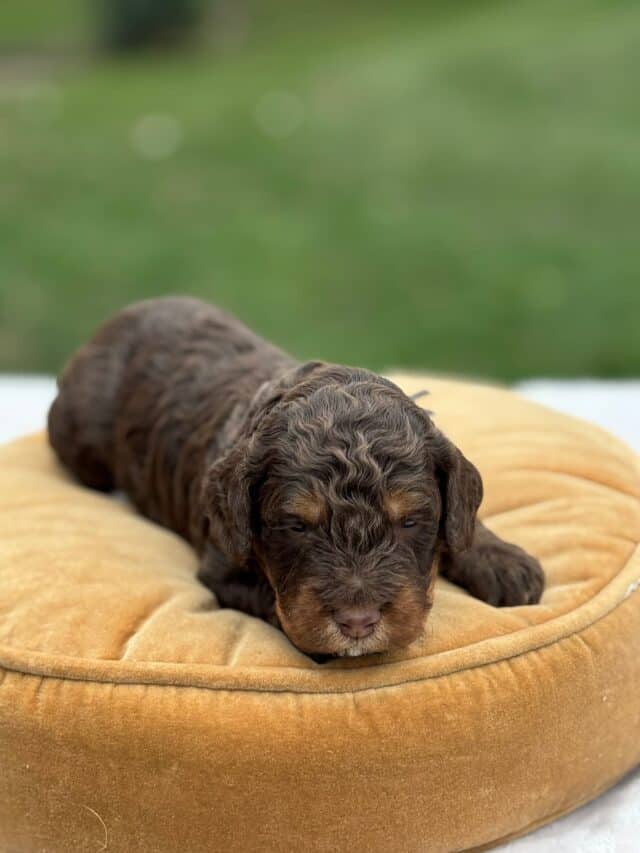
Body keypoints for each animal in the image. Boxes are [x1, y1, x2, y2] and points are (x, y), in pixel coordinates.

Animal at [47, 296, 544, 656]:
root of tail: (122, 317)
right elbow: (273, 599)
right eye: (297, 526)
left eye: (409, 521)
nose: (358, 622)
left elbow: (461, 519)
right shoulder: (222, 568)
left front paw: (503, 561)